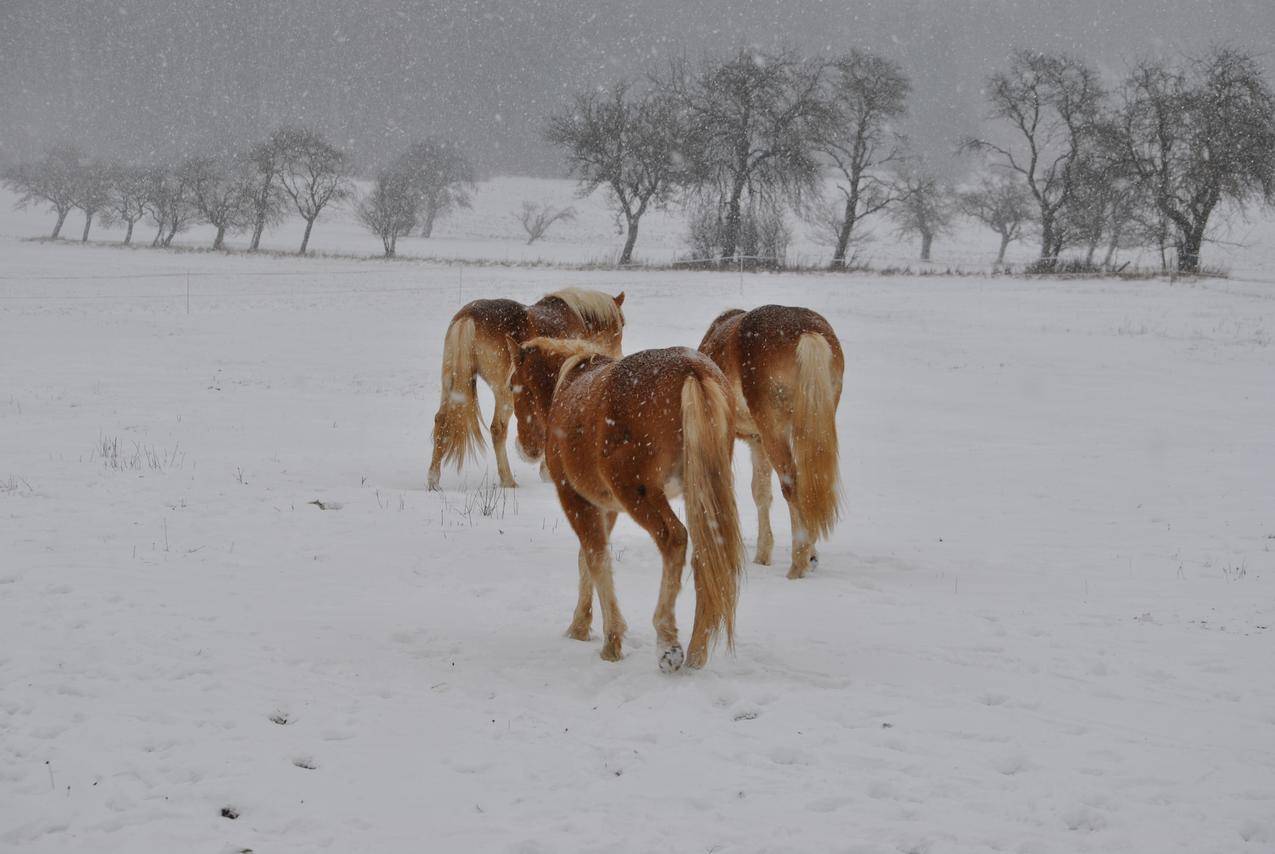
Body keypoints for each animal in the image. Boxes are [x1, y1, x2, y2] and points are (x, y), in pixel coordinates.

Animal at [428, 288, 627, 489]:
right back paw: (508, 480)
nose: (619, 357)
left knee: (441, 420)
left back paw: (433, 480)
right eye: (622, 324)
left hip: (450, 384)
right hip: (505, 394)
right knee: (498, 429)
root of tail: (468, 318)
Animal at [507, 339, 744, 673]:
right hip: (698, 494)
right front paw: (580, 626)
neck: (568, 384)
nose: (524, 447)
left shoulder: (575, 499)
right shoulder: (605, 507)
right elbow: (586, 558)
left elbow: (596, 559)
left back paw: (668, 643)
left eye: (513, 386)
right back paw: (696, 652)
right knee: (707, 556)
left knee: (674, 539)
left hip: (640, 495)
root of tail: (692, 371)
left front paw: (611, 641)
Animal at [698, 305, 846, 581]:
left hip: (774, 431)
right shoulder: (757, 441)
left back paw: (798, 564)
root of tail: (806, 333)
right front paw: (763, 554)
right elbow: (761, 492)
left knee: (792, 485)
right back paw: (809, 555)